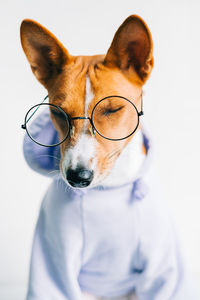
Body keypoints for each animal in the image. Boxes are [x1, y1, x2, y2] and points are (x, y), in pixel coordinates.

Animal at [21, 14, 191, 300]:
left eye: (113, 109)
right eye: (58, 113)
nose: (77, 177)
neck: (108, 190)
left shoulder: (161, 266)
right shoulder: (55, 262)